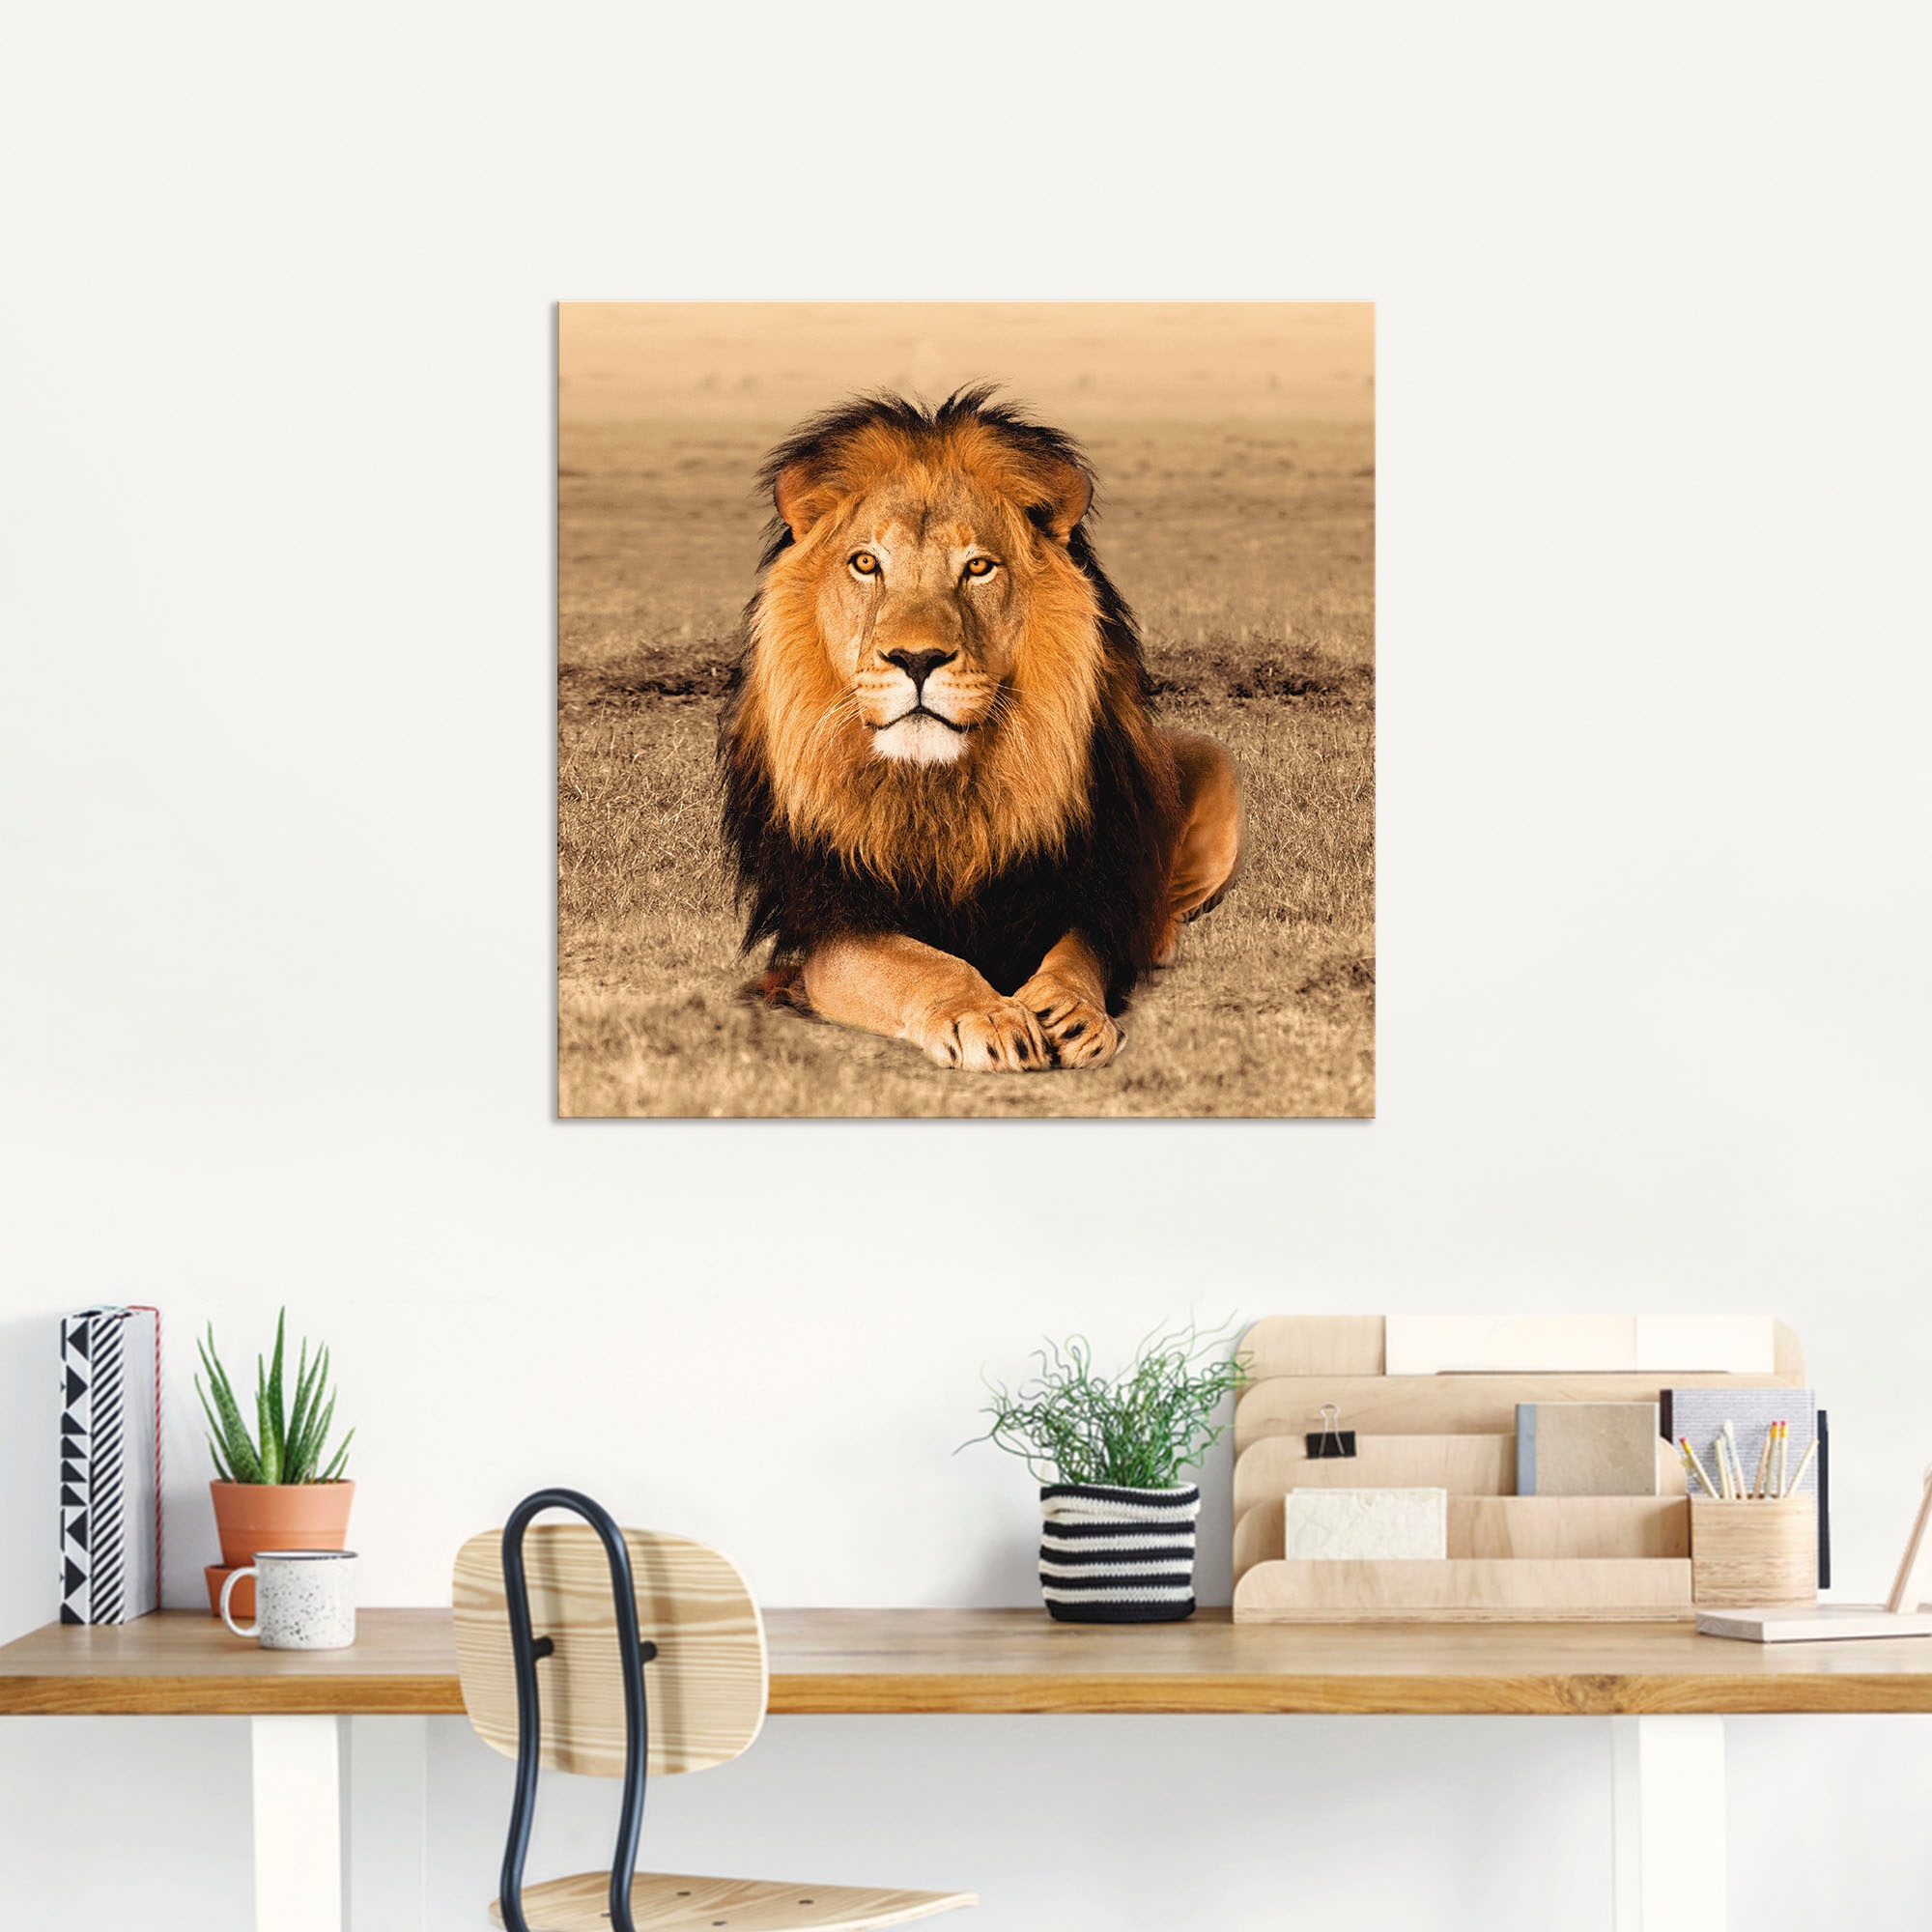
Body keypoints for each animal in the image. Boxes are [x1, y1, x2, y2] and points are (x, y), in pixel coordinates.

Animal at [719, 387, 1244, 1072]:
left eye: (978, 567)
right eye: (866, 563)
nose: (917, 659)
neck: (940, 790)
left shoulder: (1079, 890)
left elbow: (1078, 954)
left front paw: (1070, 1010)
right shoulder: (834, 919)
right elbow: (919, 964)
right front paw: (988, 1014)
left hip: (1213, 762)